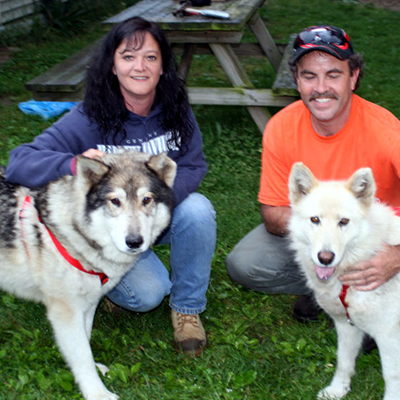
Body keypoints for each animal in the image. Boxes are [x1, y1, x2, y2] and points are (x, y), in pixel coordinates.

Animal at [0, 151, 177, 400]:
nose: (134, 242)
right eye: (115, 201)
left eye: (146, 200)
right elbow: (82, 354)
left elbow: (86, 340)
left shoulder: (88, 304)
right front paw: (97, 393)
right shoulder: (66, 312)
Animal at [290, 162, 400, 400]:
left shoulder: (389, 336)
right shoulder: (345, 325)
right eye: (315, 219)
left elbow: (391, 376)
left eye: (344, 221)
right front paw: (338, 389)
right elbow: (343, 362)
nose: (325, 258)